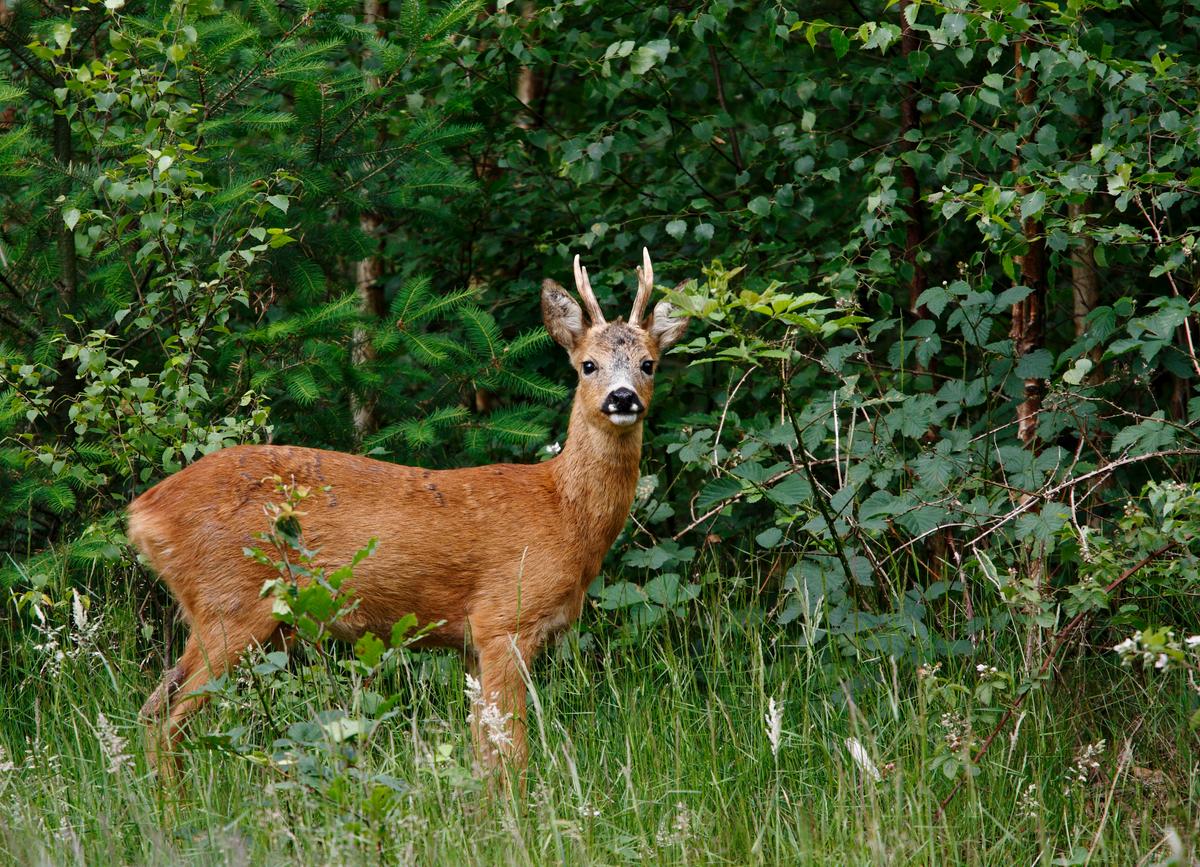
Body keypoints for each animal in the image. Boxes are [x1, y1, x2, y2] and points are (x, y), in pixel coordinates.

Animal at [128, 248, 690, 779]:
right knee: (168, 720)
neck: (564, 513)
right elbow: (512, 752)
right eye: (588, 364)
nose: (623, 398)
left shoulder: (470, 644)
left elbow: (483, 753)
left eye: (649, 363)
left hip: (221, 612)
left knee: (152, 706)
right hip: (230, 604)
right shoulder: (504, 619)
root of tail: (142, 513)